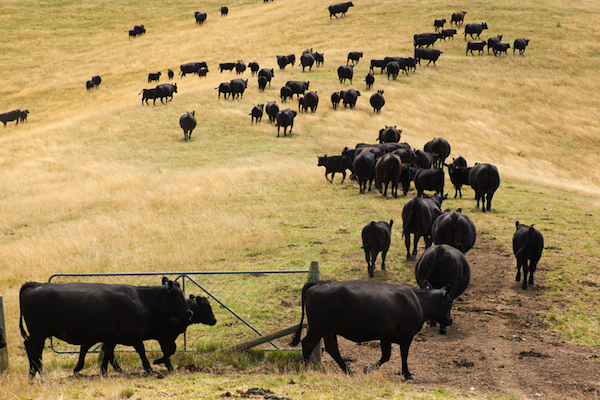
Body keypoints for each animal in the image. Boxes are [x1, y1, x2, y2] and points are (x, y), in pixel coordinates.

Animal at [18, 278, 191, 378]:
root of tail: (35, 285)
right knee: (35, 350)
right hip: (39, 333)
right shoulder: (134, 334)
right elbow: (141, 350)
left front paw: (104, 371)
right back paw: (38, 374)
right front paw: (149, 369)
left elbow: (108, 353)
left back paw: (34, 374)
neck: (141, 300)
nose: (190, 312)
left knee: (30, 347)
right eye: (179, 296)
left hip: (37, 334)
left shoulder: (112, 336)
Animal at [288, 280, 452, 380]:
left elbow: (386, 356)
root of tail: (320, 283)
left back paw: (349, 372)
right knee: (307, 343)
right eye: (450, 301)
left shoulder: (385, 336)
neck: (418, 301)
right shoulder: (407, 335)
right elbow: (404, 355)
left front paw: (368, 368)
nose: (450, 320)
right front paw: (407, 374)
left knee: (332, 349)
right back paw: (307, 369)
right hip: (318, 327)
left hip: (329, 330)